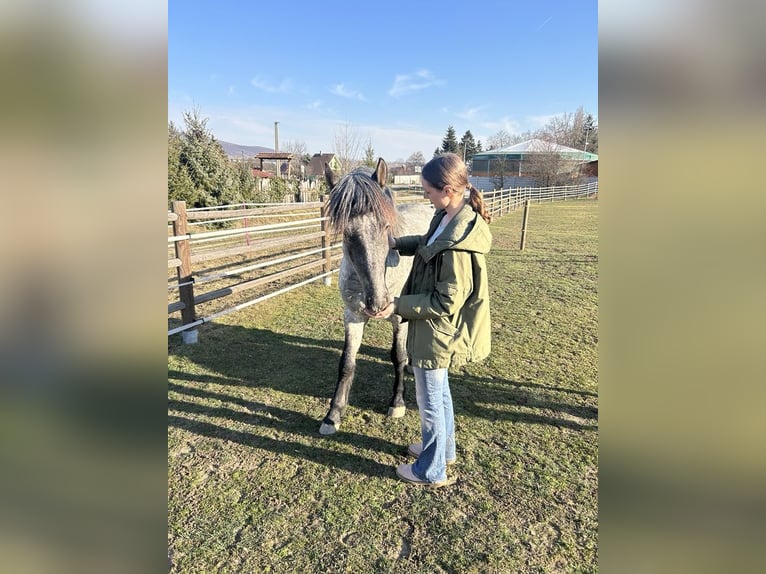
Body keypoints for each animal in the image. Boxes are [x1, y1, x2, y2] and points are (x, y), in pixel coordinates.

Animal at [320, 158, 432, 436]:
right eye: (347, 234)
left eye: (386, 227)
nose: (379, 303)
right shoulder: (352, 316)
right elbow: (347, 363)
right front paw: (333, 415)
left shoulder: (399, 319)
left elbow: (397, 356)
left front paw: (397, 403)